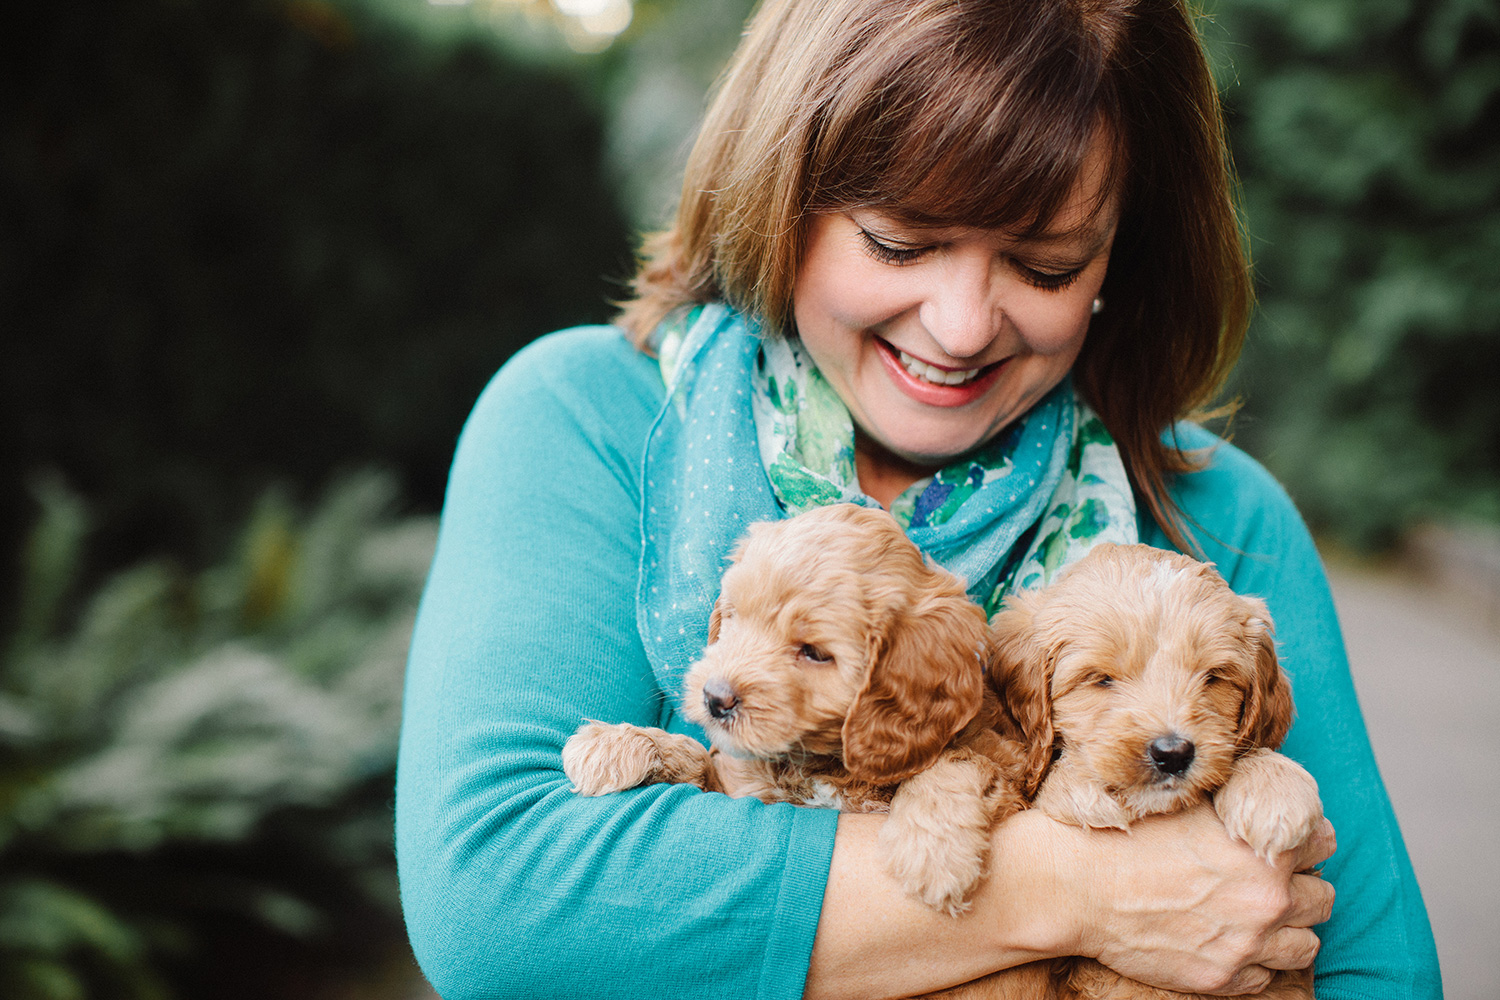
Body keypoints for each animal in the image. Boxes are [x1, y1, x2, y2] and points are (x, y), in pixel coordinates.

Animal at [558, 503, 1026, 917]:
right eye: (734, 616)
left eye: (815, 653)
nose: (714, 698)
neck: (818, 762)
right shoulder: (736, 782)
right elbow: (695, 757)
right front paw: (612, 742)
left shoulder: (1005, 764)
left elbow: (956, 761)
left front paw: (933, 850)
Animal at [996, 542, 1326, 1000]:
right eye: (1101, 679)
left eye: (1212, 678)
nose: (1172, 753)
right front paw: (1082, 786)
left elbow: (1251, 750)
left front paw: (1275, 794)